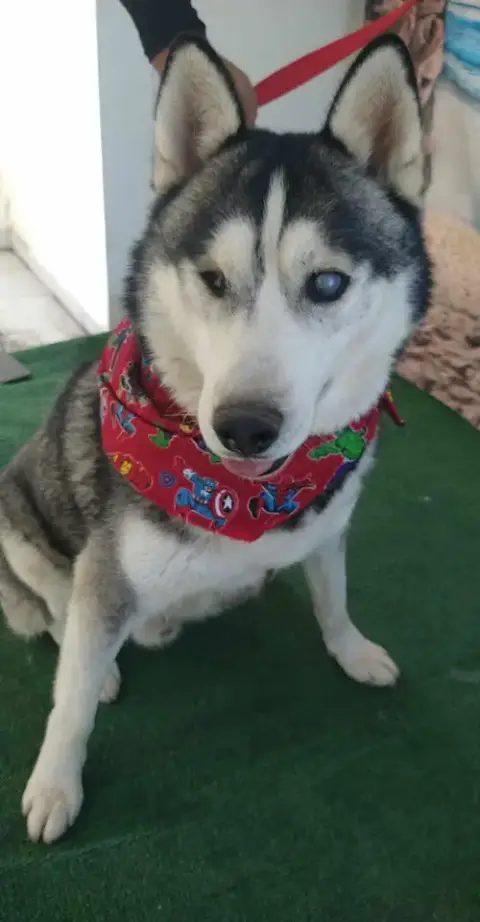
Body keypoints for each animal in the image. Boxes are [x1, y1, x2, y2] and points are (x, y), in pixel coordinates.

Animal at [0, 34, 430, 843]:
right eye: (212, 278)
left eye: (327, 284)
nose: (245, 426)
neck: (239, 496)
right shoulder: (105, 572)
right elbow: (69, 703)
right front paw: (55, 786)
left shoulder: (327, 528)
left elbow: (333, 598)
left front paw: (352, 651)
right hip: (14, 513)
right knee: (56, 608)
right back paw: (103, 664)